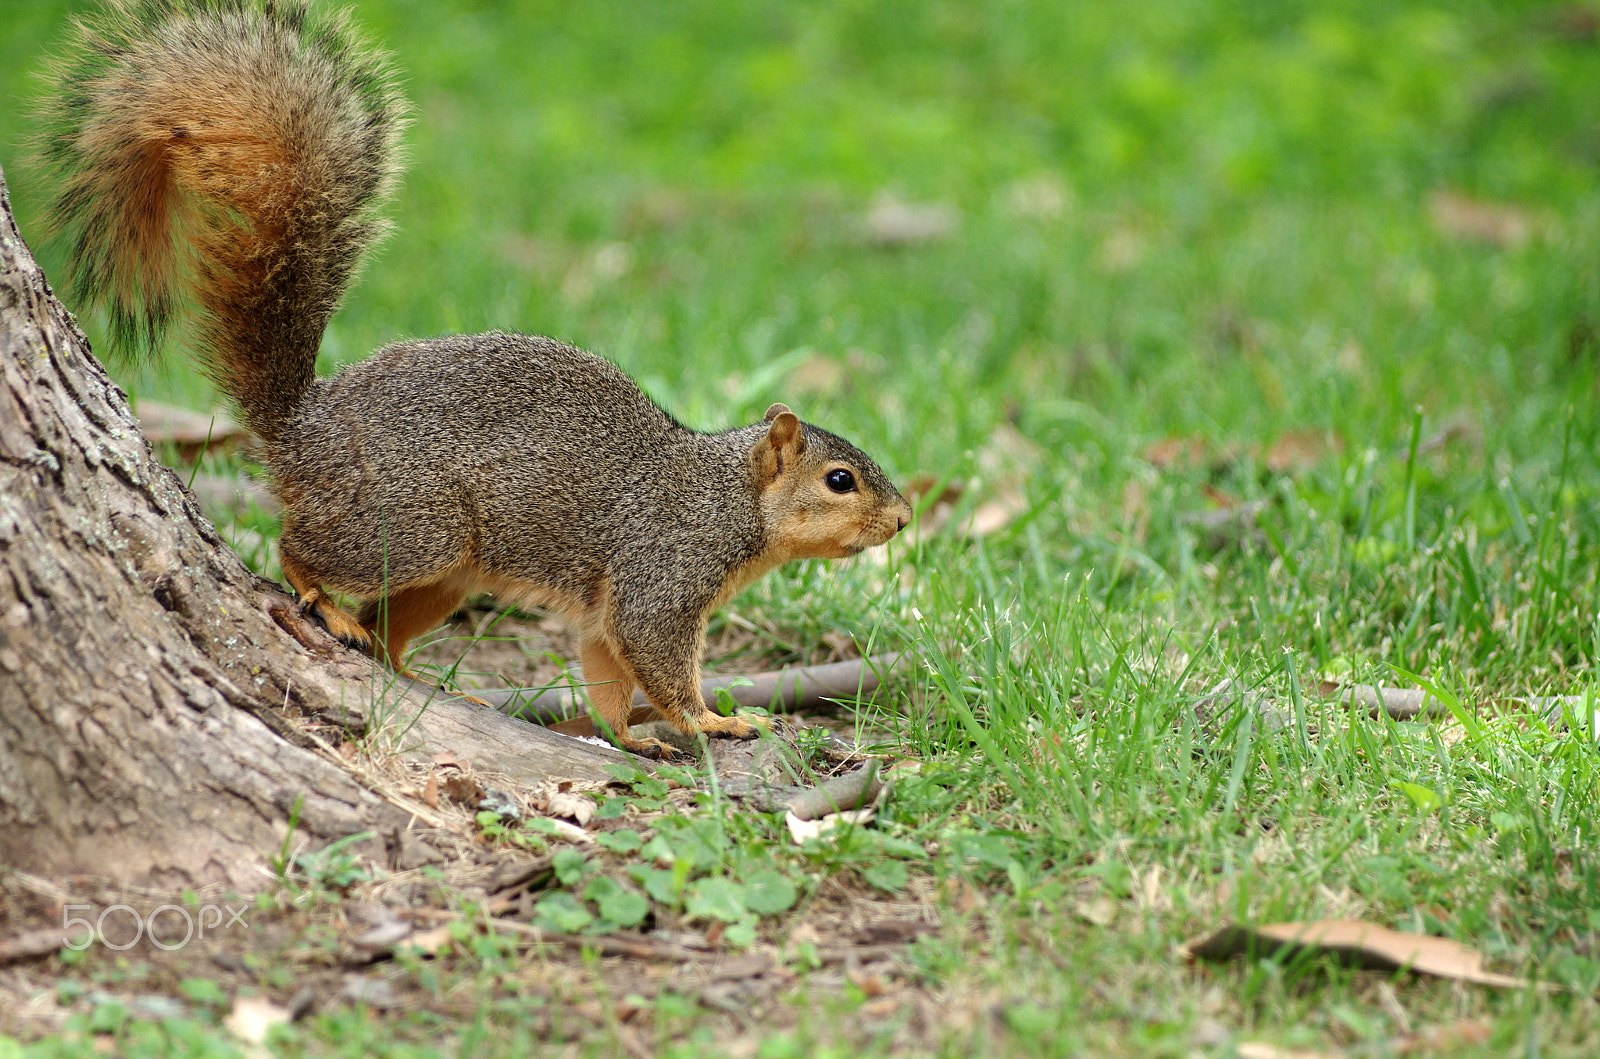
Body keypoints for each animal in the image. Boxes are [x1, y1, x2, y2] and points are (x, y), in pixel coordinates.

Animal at [34, 0, 915, 764]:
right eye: (840, 479)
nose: (905, 518)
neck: (729, 494)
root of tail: (300, 428)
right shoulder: (663, 569)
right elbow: (657, 655)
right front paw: (713, 720)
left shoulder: (606, 608)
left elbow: (606, 671)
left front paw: (626, 737)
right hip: (409, 522)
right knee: (304, 550)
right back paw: (322, 600)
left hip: (445, 571)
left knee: (389, 626)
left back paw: (418, 673)